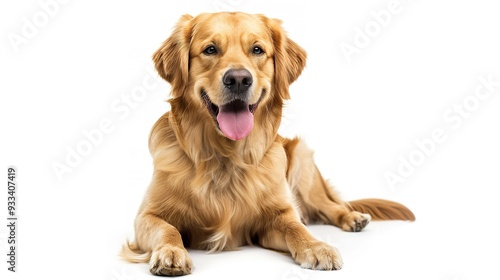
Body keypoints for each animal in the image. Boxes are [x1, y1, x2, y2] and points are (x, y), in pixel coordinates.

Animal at [120, 11, 414, 276]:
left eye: (257, 50)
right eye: (210, 49)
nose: (239, 79)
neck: (225, 156)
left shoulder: (276, 216)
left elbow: (295, 226)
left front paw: (315, 246)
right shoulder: (146, 215)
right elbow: (168, 229)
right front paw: (171, 252)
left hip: (303, 162)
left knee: (331, 206)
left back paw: (353, 218)